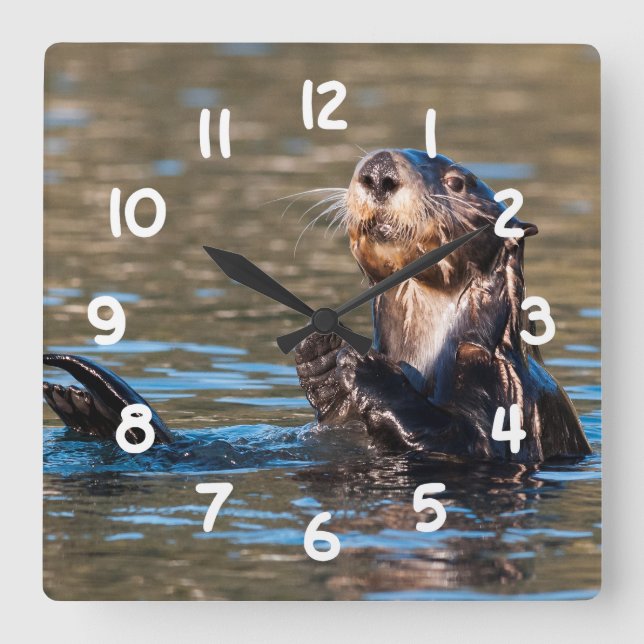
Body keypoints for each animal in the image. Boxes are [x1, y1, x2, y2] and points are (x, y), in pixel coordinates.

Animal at [42, 148, 591, 464]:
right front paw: (321, 357)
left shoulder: (504, 385)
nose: (379, 171)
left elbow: (465, 442)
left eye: (457, 182)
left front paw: (362, 367)